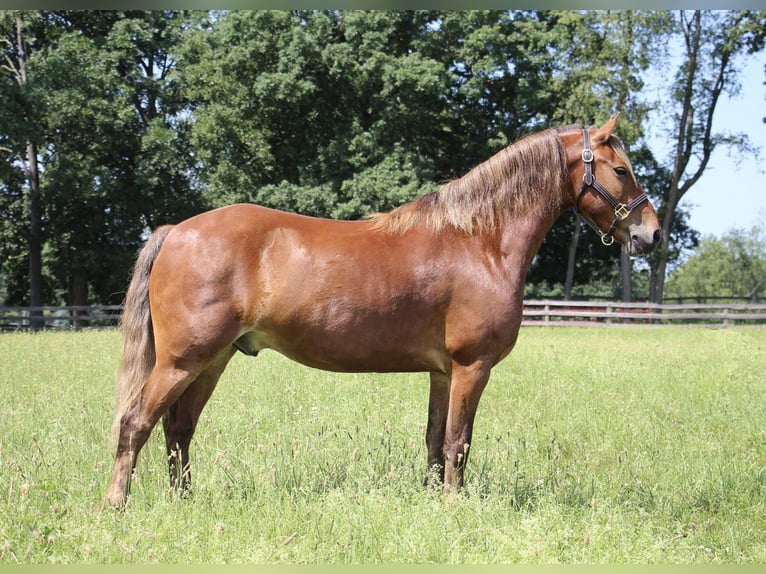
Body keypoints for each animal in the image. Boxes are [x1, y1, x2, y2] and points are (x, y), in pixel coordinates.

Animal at [105, 116, 664, 508]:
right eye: (621, 170)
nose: (652, 235)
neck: (479, 241)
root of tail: (175, 230)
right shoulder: (472, 367)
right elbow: (459, 442)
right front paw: (455, 508)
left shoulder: (443, 372)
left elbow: (436, 442)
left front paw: (433, 502)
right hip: (183, 360)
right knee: (136, 423)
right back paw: (116, 507)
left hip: (212, 359)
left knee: (179, 430)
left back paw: (184, 503)